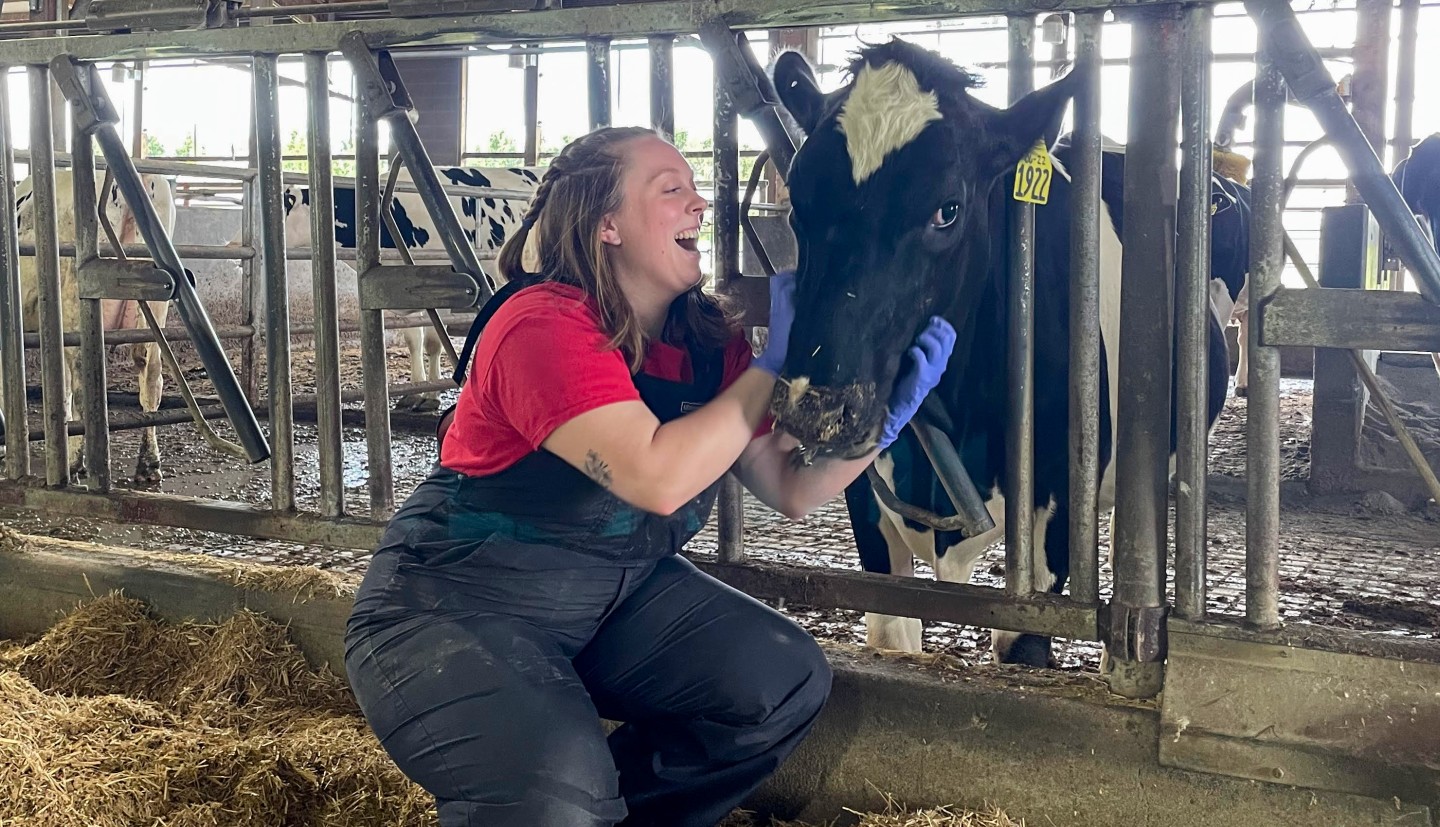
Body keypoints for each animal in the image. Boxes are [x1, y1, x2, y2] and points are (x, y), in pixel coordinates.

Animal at [11, 169, 178, 483]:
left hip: (76, 307)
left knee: (83, 386)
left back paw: (76, 462)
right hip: (155, 308)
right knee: (151, 378)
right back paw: (149, 465)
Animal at [767, 39, 1235, 667]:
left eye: (948, 209)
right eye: (798, 204)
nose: (814, 407)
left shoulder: (1053, 522)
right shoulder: (867, 510)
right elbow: (891, 636)